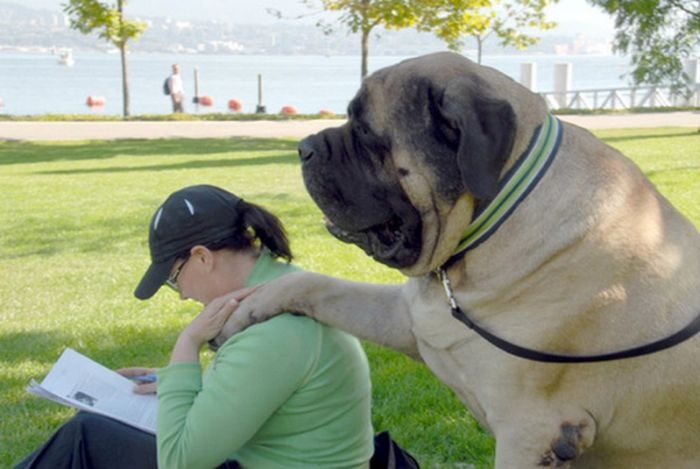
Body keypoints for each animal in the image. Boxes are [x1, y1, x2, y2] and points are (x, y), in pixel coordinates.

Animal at [216, 53, 696, 466]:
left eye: (366, 131)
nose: (304, 147)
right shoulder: (412, 320)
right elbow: (317, 285)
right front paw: (246, 307)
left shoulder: (531, 430)